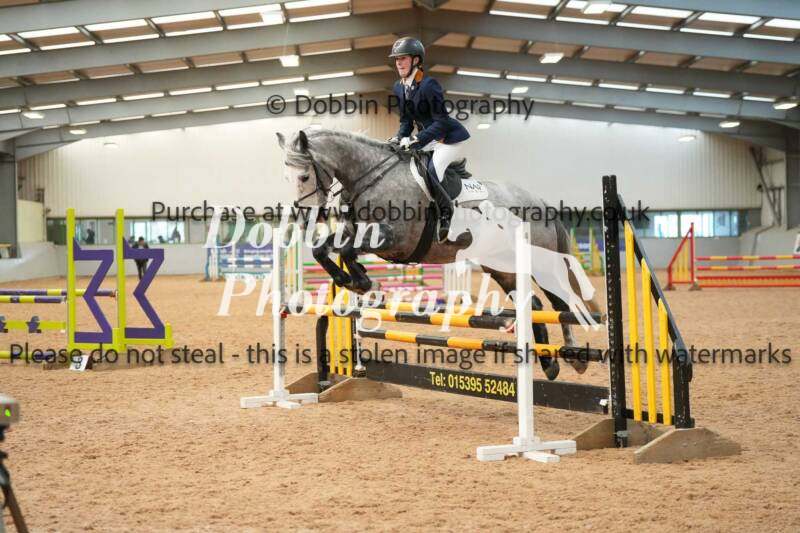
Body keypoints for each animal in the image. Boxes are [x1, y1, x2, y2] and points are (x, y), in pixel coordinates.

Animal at [276, 128, 602, 380]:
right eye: (287, 177)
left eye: (303, 176)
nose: (304, 219)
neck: (370, 177)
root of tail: (539, 201)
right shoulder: (357, 233)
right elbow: (324, 249)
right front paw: (357, 281)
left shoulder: (393, 238)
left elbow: (344, 249)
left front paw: (366, 282)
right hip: (500, 266)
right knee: (533, 303)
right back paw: (549, 364)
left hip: (540, 262)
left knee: (559, 301)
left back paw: (574, 358)